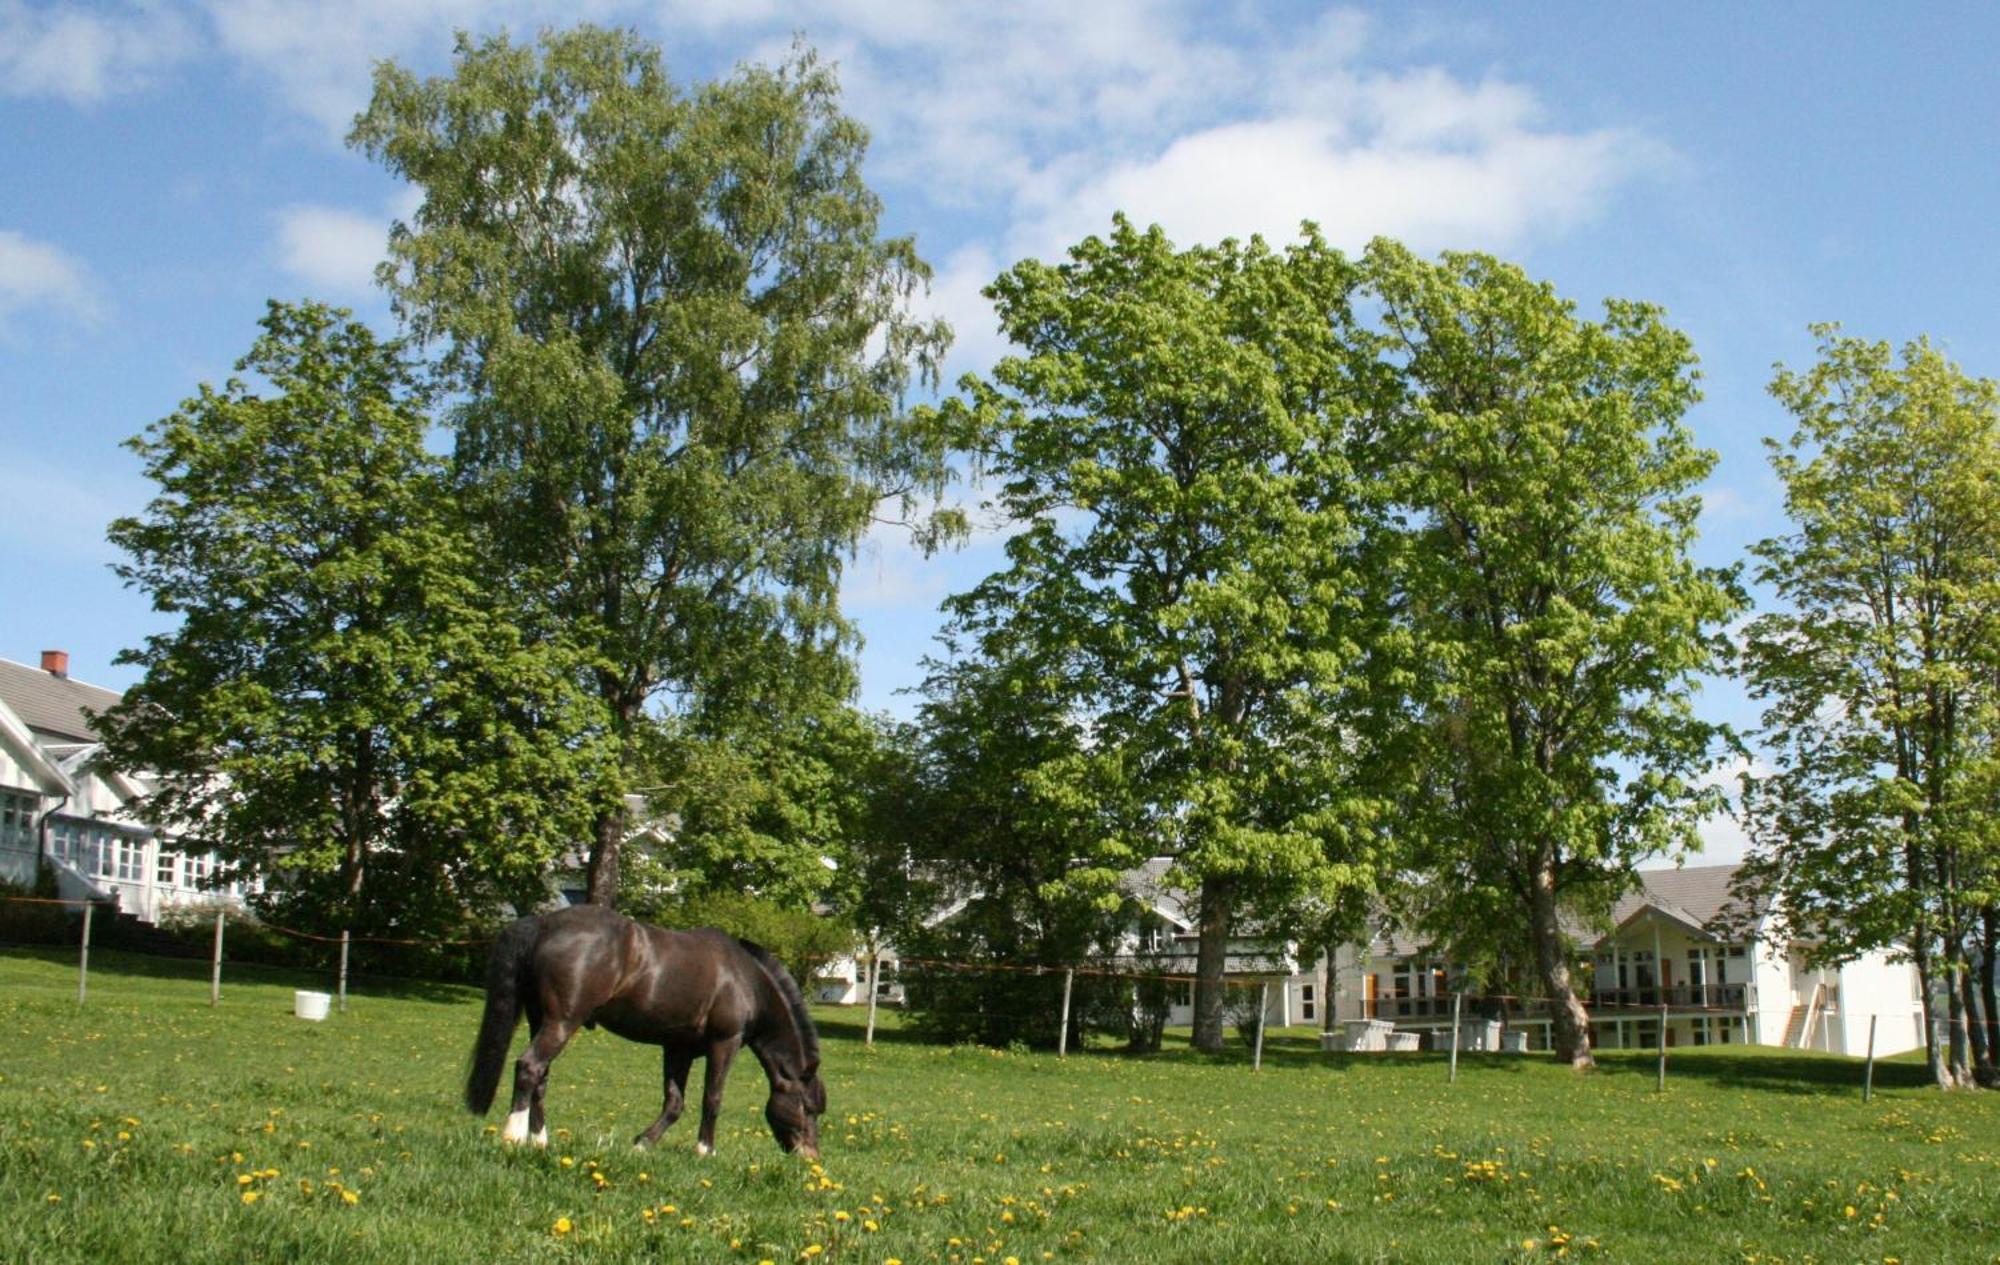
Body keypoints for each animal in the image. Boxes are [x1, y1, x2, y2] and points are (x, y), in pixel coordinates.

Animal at [464, 904, 824, 1160]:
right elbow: (713, 1097)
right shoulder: (725, 1042)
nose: (811, 1158)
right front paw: (705, 1150)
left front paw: (642, 1144)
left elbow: (674, 1102)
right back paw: (513, 1136)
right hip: (562, 1022)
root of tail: (543, 925)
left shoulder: (678, 1048)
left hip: (541, 1020)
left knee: (541, 1077)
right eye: (807, 1107)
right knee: (529, 1066)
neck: (744, 978)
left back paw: (540, 1142)